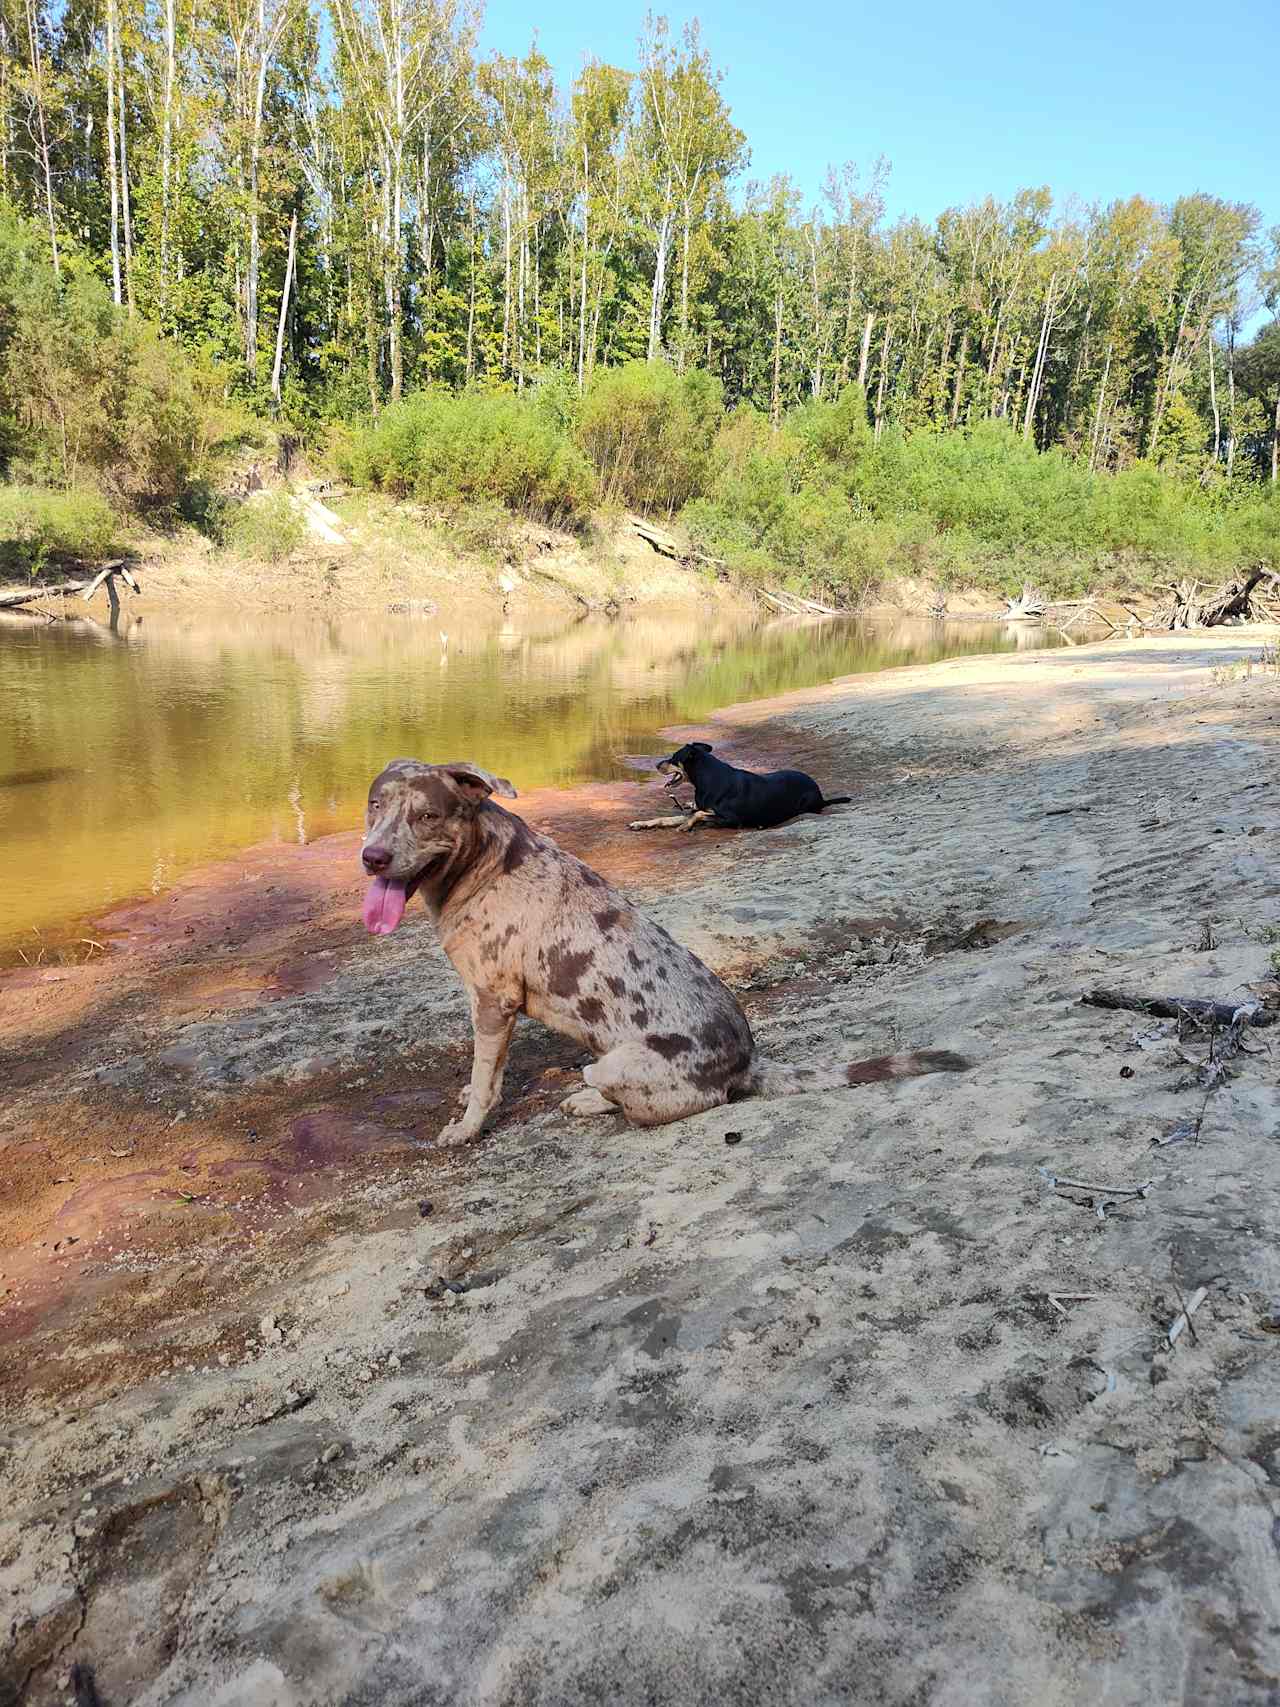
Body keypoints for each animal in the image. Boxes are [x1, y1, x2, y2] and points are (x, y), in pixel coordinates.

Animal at [361, 761, 969, 1147]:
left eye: (428, 816)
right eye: (374, 805)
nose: (372, 858)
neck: (481, 865)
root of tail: (747, 1065)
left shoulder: (494, 999)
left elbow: (487, 1079)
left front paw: (467, 1125)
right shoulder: (483, 999)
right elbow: (487, 1069)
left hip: (613, 1061)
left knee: (643, 1104)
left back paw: (594, 1101)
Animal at [628, 740, 853, 833]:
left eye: (674, 758)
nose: (656, 764)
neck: (707, 779)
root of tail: (820, 794)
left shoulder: (732, 819)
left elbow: (698, 815)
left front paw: (686, 826)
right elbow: (668, 818)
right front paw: (641, 823)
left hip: (805, 804)